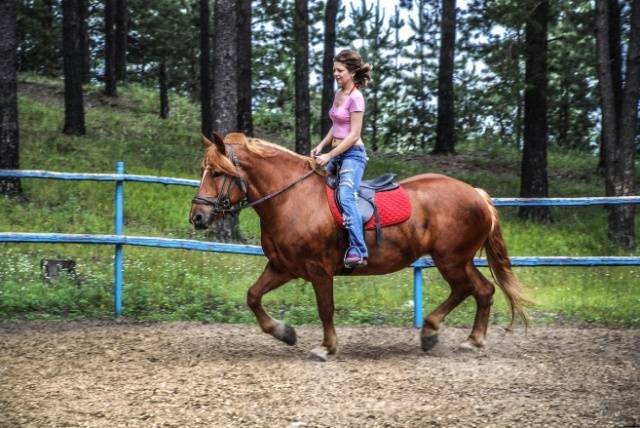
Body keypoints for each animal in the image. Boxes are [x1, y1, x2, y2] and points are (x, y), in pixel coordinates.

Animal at [188, 132, 528, 360]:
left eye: (216, 172)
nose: (198, 217)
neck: (291, 199)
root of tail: (476, 194)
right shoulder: (283, 267)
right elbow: (253, 296)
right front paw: (285, 333)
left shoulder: (319, 269)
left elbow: (325, 308)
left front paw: (326, 347)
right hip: (458, 259)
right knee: (481, 290)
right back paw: (463, 338)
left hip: (451, 259)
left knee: (470, 289)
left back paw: (442, 334)